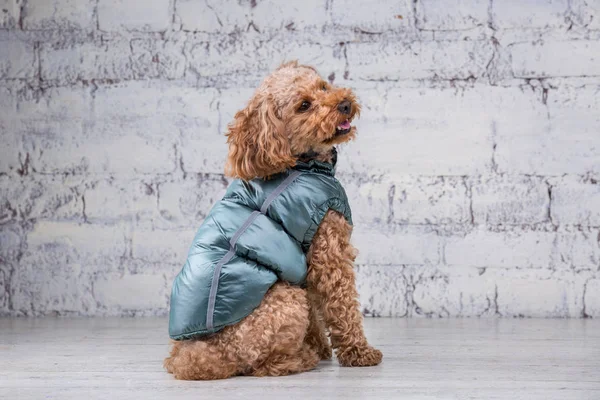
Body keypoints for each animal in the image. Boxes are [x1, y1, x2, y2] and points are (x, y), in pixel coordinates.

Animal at [162, 61, 382, 380]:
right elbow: (342, 306)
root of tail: (198, 356)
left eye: (323, 86)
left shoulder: (304, 261)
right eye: (304, 106)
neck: (301, 164)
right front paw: (359, 352)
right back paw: (302, 358)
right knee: (260, 365)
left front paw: (320, 344)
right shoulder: (329, 251)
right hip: (284, 302)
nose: (344, 104)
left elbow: (316, 309)